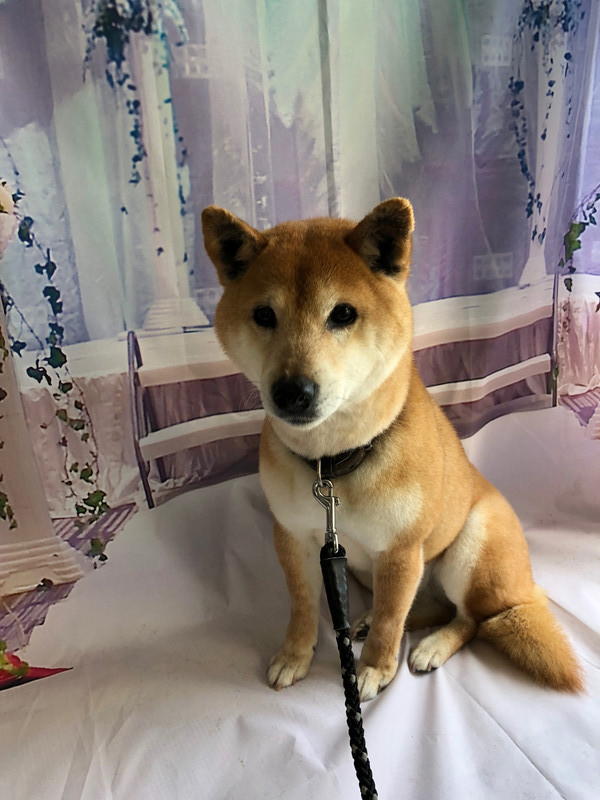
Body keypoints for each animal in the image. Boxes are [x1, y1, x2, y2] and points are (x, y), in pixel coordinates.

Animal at [202, 198, 583, 701]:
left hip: (470, 547)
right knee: (428, 609)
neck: (334, 464)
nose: (292, 392)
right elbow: (304, 606)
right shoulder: (293, 537)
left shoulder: (401, 551)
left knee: (470, 619)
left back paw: (431, 646)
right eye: (264, 315)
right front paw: (296, 654)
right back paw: (368, 623)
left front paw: (374, 669)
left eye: (343, 313)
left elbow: (390, 621)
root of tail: (523, 589)